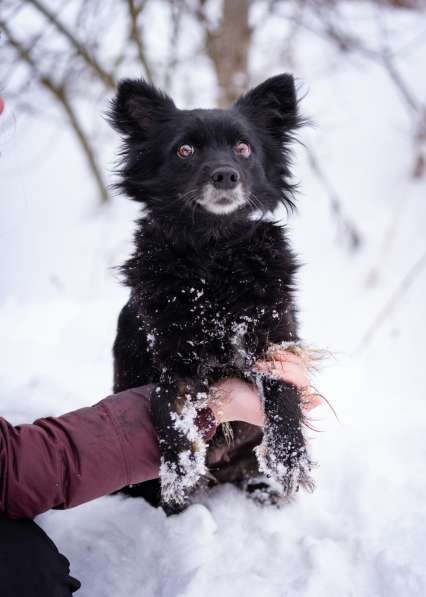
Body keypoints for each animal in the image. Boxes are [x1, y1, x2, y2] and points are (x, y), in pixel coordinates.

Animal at [110, 72, 312, 510]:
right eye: (184, 150)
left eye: (243, 148)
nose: (225, 175)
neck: (215, 253)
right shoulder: (173, 355)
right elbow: (163, 400)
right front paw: (179, 467)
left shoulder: (275, 339)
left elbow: (283, 390)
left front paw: (289, 456)